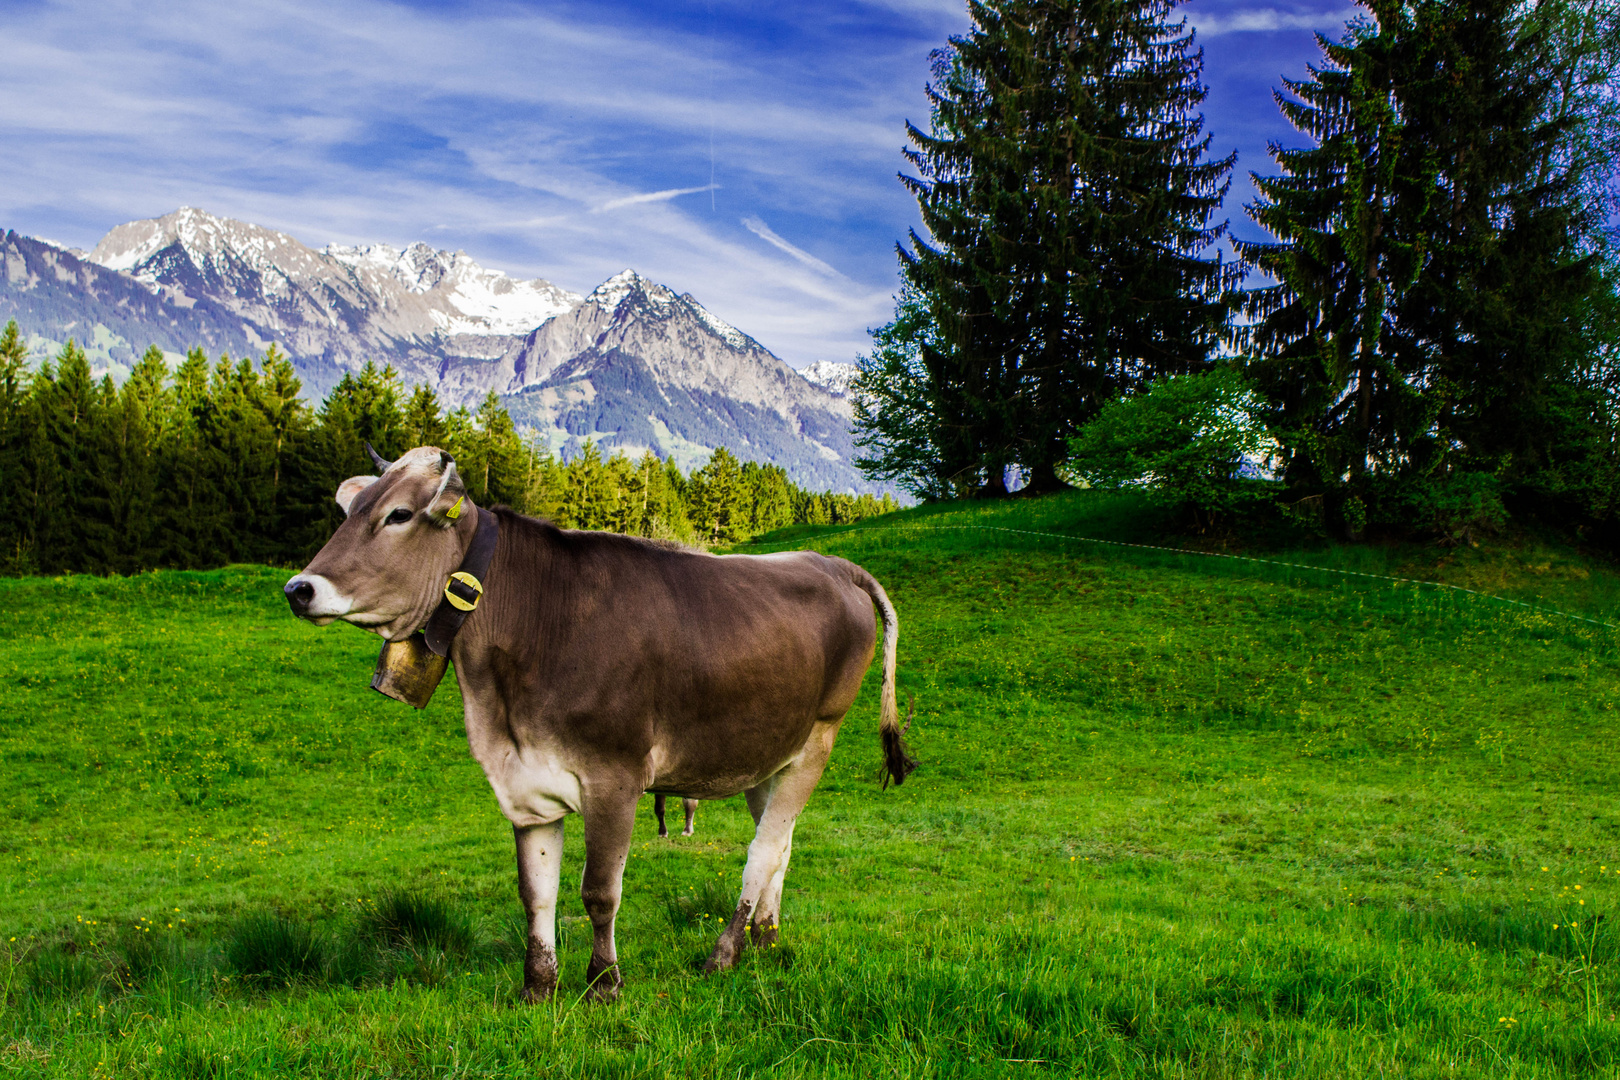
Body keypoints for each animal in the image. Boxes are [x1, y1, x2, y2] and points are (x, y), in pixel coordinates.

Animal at [281, 443, 913, 1003]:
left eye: (399, 515)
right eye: (352, 511)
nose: (297, 588)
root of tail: (830, 562)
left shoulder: (615, 777)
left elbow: (599, 892)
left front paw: (604, 983)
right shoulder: (525, 782)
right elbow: (535, 893)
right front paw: (538, 988)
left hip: (819, 738)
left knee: (764, 850)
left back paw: (725, 952)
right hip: (766, 750)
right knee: (779, 843)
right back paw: (765, 942)